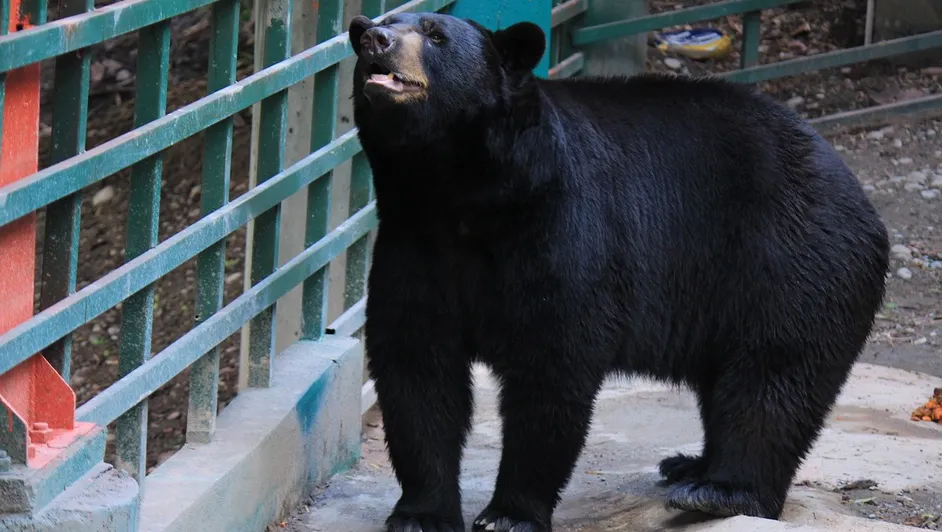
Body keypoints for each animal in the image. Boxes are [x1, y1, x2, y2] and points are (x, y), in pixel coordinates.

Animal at [348, 11, 890, 532]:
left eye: (435, 34)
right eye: (381, 23)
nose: (374, 38)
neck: (461, 191)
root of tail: (861, 199)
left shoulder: (563, 226)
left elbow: (553, 362)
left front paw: (511, 512)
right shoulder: (414, 242)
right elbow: (418, 366)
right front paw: (421, 513)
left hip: (794, 256)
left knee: (775, 371)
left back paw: (722, 489)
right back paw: (692, 465)